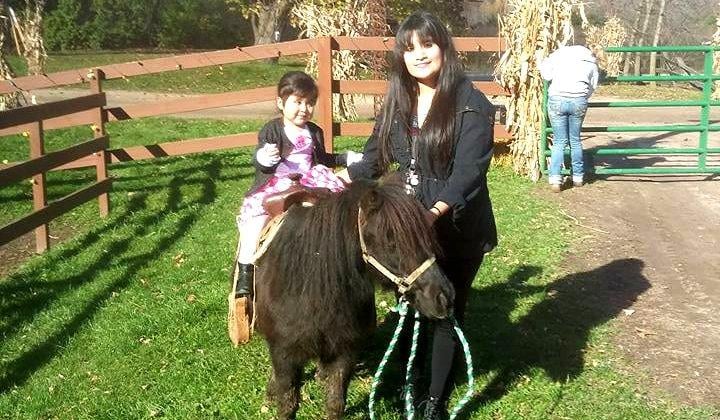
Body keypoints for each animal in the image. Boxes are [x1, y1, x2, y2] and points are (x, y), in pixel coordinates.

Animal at [254, 175, 455, 419]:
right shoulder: (284, 354)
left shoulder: (346, 351)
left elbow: (335, 404)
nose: (444, 297)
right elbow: (287, 405)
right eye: (390, 240)